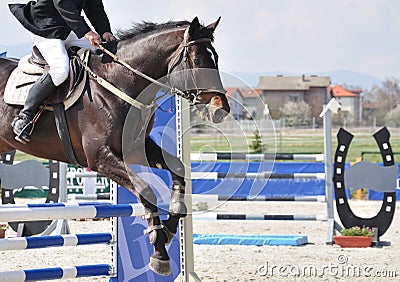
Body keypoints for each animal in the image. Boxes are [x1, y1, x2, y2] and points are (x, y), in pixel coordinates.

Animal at [0, 16, 230, 274]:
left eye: (216, 59)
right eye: (198, 61)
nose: (221, 109)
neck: (119, 83)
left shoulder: (136, 149)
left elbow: (178, 171)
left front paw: (170, 227)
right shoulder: (100, 158)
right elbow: (145, 190)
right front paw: (159, 251)